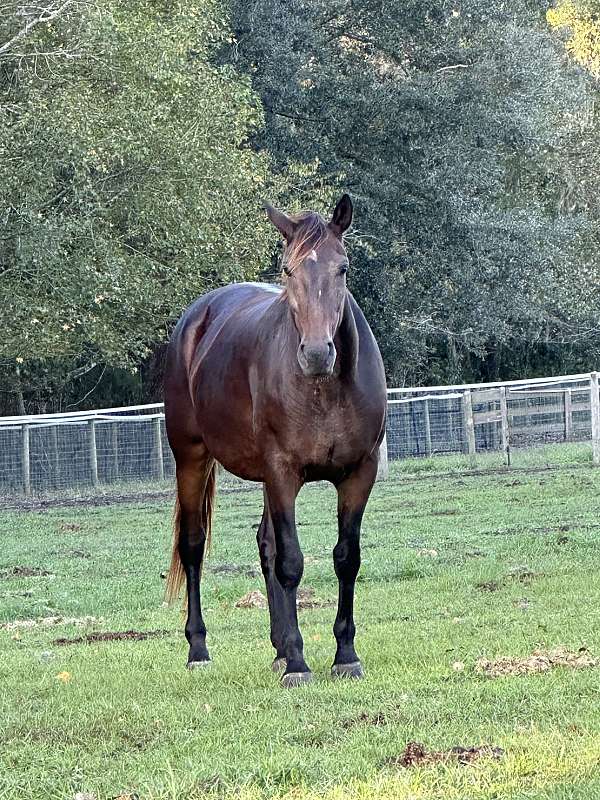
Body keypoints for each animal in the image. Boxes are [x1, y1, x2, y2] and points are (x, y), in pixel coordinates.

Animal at [164, 194, 387, 687]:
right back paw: (199, 650)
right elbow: (291, 563)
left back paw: (280, 649)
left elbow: (346, 558)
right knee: (193, 546)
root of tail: (197, 316)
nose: (317, 353)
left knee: (265, 544)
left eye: (342, 268)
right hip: (192, 457)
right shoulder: (283, 473)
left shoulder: (359, 473)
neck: (324, 390)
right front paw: (301, 664)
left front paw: (344, 655)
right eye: (287, 270)